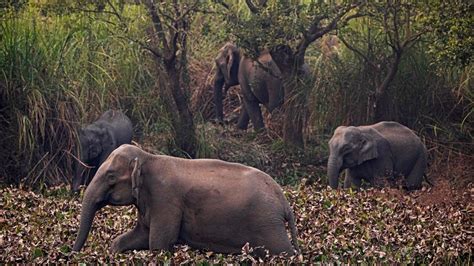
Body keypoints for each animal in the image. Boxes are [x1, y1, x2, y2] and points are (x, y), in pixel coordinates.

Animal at [71, 144, 300, 256]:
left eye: (111, 177)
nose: (72, 253)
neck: (148, 157)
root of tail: (284, 201)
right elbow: (140, 236)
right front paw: (114, 251)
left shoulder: (165, 199)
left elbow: (158, 244)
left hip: (268, 224)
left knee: (284, 253)